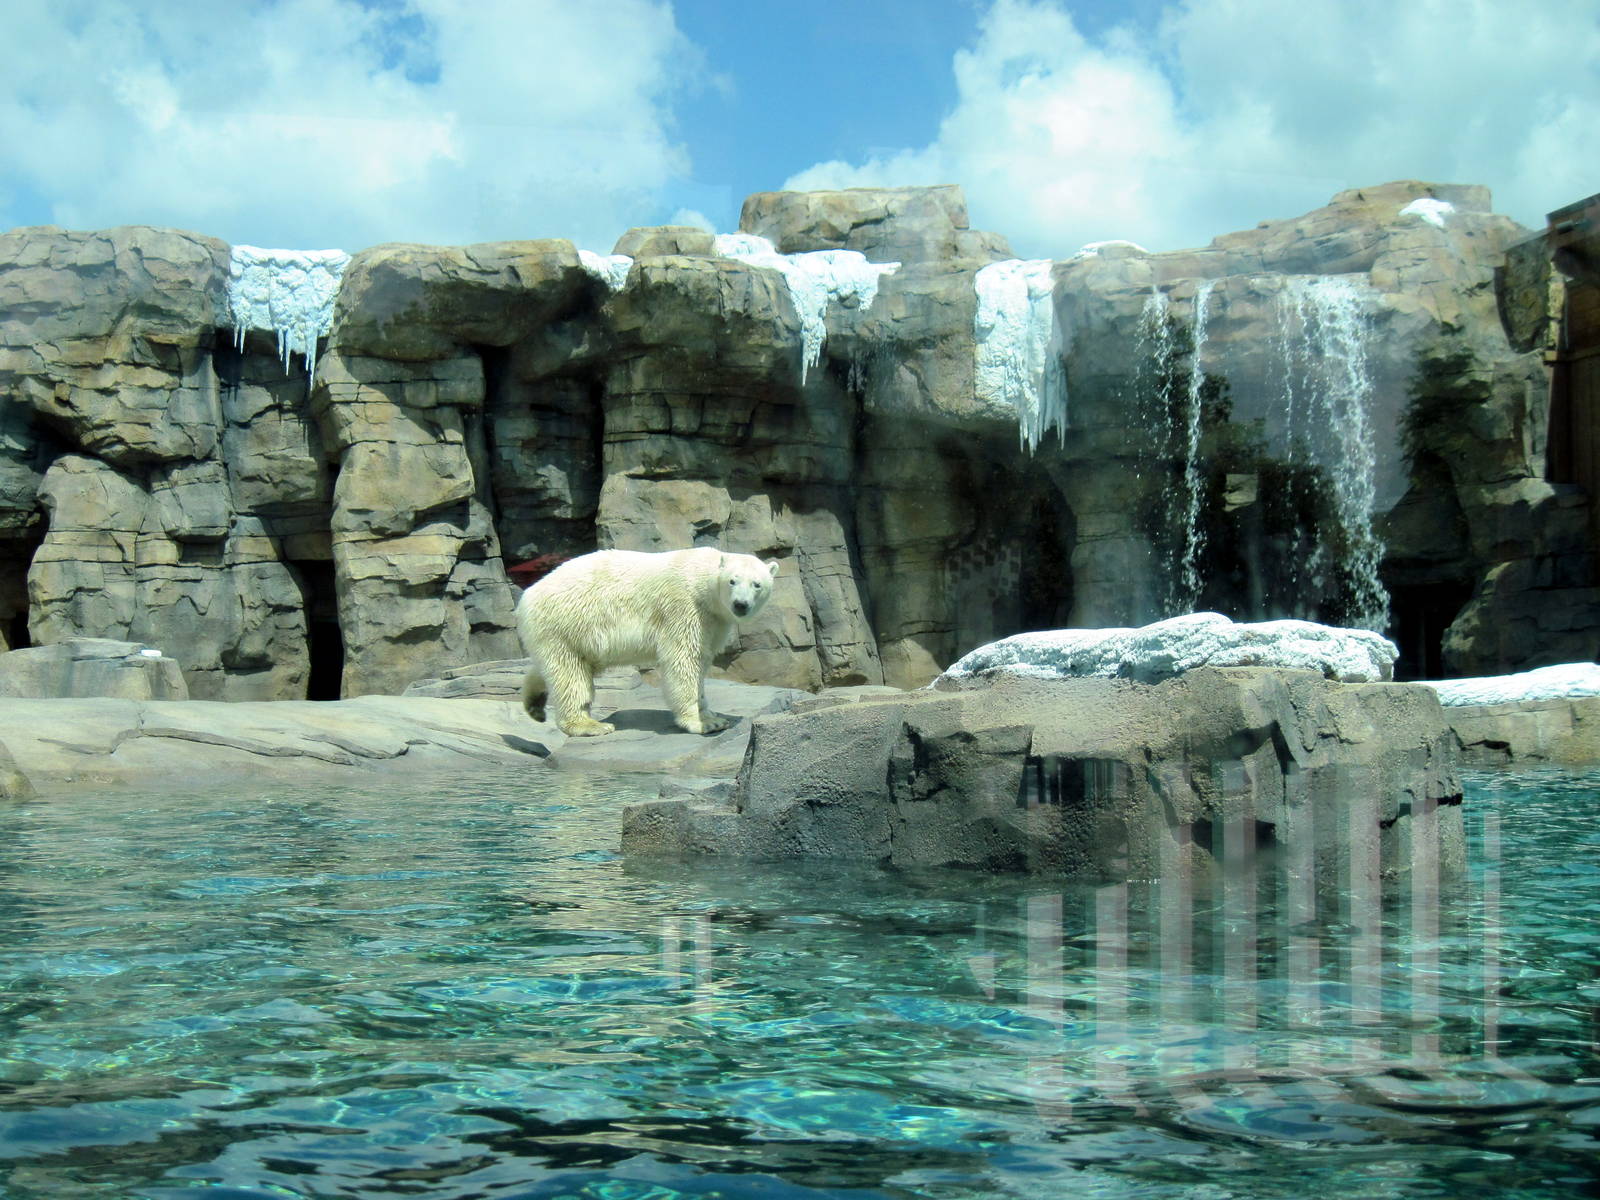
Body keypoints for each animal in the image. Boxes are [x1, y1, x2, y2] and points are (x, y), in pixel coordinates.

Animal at [515, 547, 780, 737]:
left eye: (757, 584)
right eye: (732, 581)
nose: (740, 604)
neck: (699, 577)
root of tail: (527, 595)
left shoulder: (715, 620)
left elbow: (702, 660)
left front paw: (712, 716)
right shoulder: (684, 607)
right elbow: (684, 660)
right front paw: (701, 723)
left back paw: (534, 704)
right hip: (565, 623)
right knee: (571, 673)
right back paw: (590, 725)